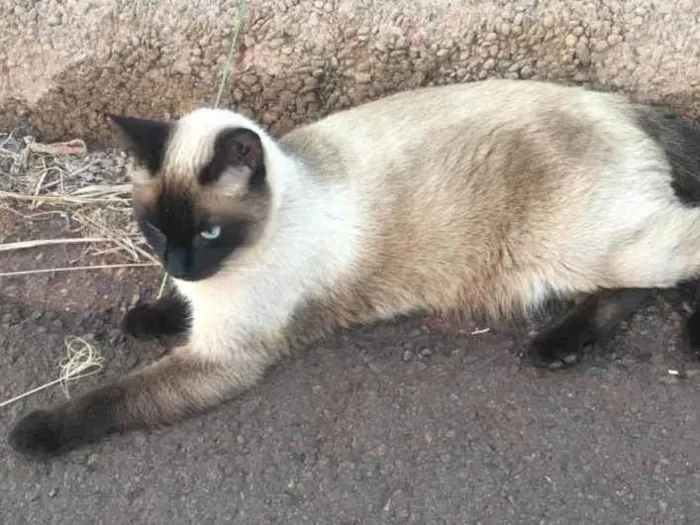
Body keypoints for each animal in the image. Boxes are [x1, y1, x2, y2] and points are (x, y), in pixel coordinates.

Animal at [8, 79, 700, 458]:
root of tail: (620, 103)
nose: (180, 262)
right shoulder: (203, 304)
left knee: (673, 254)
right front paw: (147, 316)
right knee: (631, 288)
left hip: (578, 248)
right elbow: (170, 308)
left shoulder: (222, 357)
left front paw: (32, 433)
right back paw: (565, 346)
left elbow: (111, 399)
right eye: (152, 228)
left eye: (208, 232)